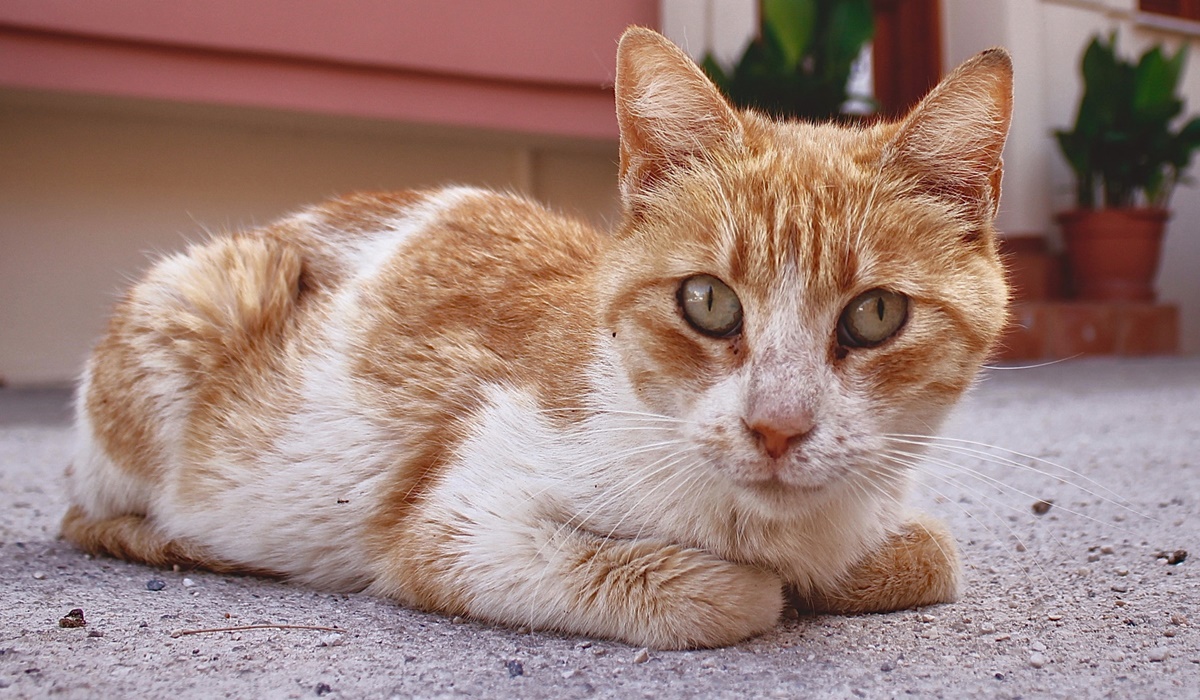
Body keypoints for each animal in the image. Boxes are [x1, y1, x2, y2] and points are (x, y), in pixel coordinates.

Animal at [63, 28, 1012, 653]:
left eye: (875, 315)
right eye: (708, 302)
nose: (777, 428)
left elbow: (929, 554)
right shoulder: (456, 531)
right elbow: (718, 598)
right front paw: (763, 587)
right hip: (198, 306)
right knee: (90, 518)